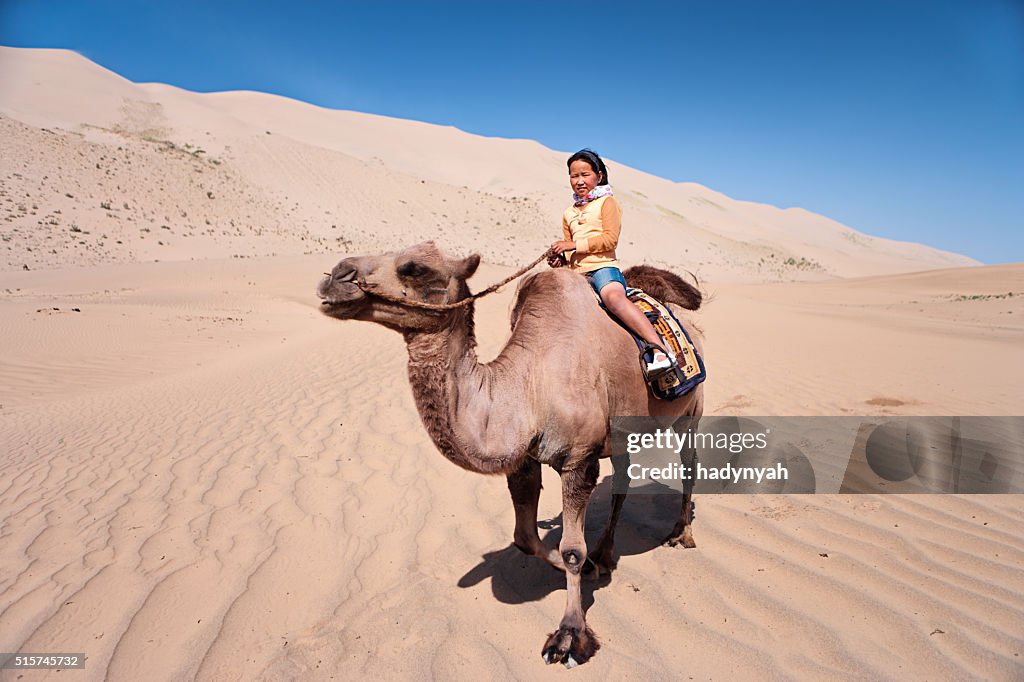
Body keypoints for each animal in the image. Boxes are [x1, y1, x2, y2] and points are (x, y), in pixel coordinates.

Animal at [317, 241, 704, 667]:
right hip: (623, 430)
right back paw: (604, 555)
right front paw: (586, 568)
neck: (529, 385)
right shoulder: (524, 461)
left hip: (692, 409)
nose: (336, 275)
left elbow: (571, 550)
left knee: (689, 464)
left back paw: (681, 533)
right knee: (622, 479)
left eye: (414, 268)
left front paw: (570, 635)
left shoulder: (579, 460)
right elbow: (525, 537)